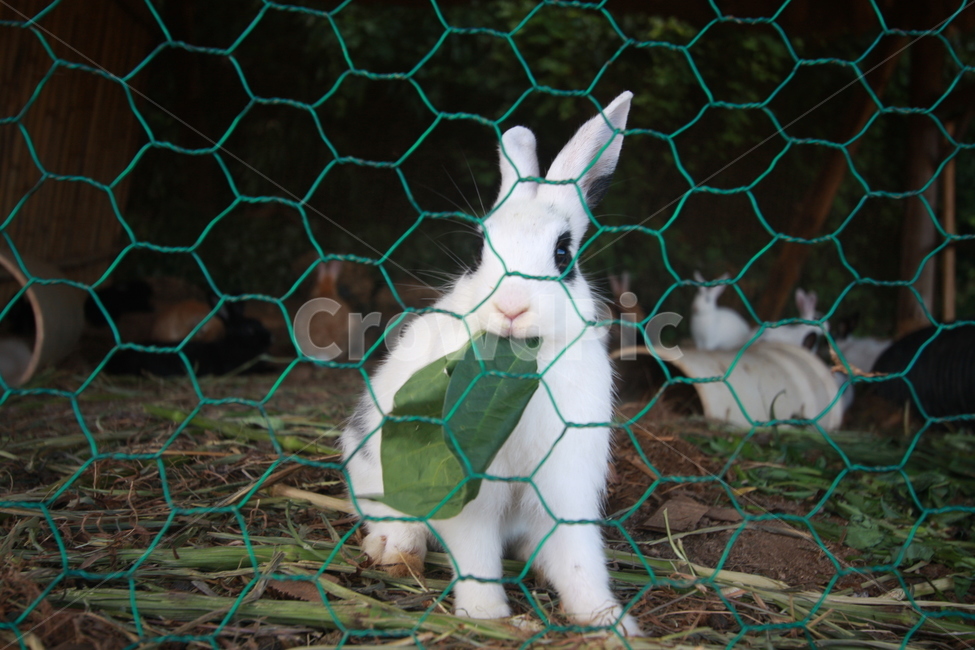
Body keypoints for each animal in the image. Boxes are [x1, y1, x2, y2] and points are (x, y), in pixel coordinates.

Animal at [340, 92, 642, 636]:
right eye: (481, 249)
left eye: (563, 254)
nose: (512, 307)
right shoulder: (470, 490)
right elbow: (476, 552)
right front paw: (487, 617)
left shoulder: (567, 484)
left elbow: (580, 560)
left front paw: (609, 623)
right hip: (370, 464)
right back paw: (397, 551)